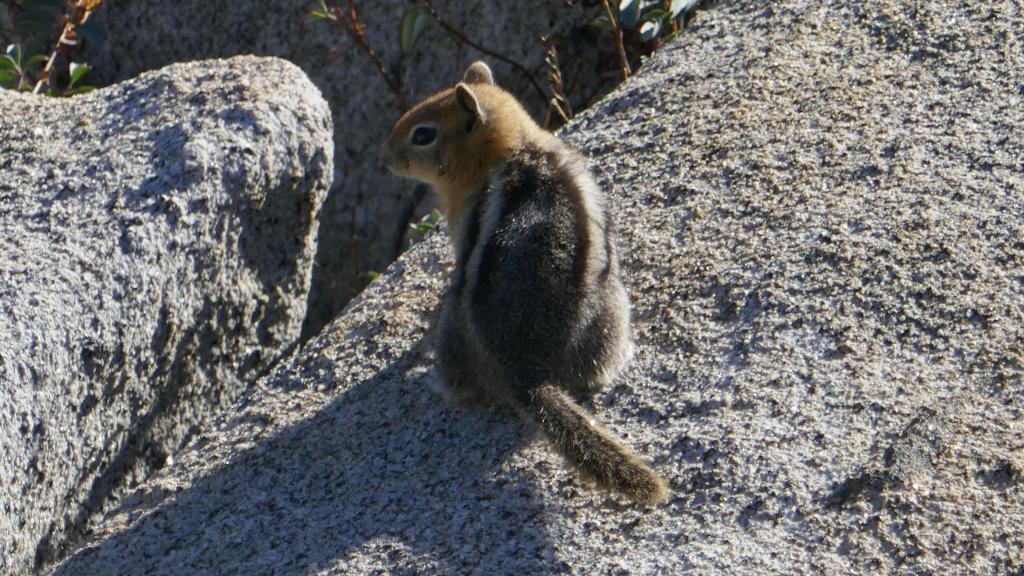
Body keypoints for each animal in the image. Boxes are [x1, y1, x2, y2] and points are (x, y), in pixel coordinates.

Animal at [380, 61, 667, 502]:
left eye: (422, 135)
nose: (385, 159)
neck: (516, 149)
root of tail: (525, 372)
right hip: (612, 312)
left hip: (455, 327)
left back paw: (438, 383)